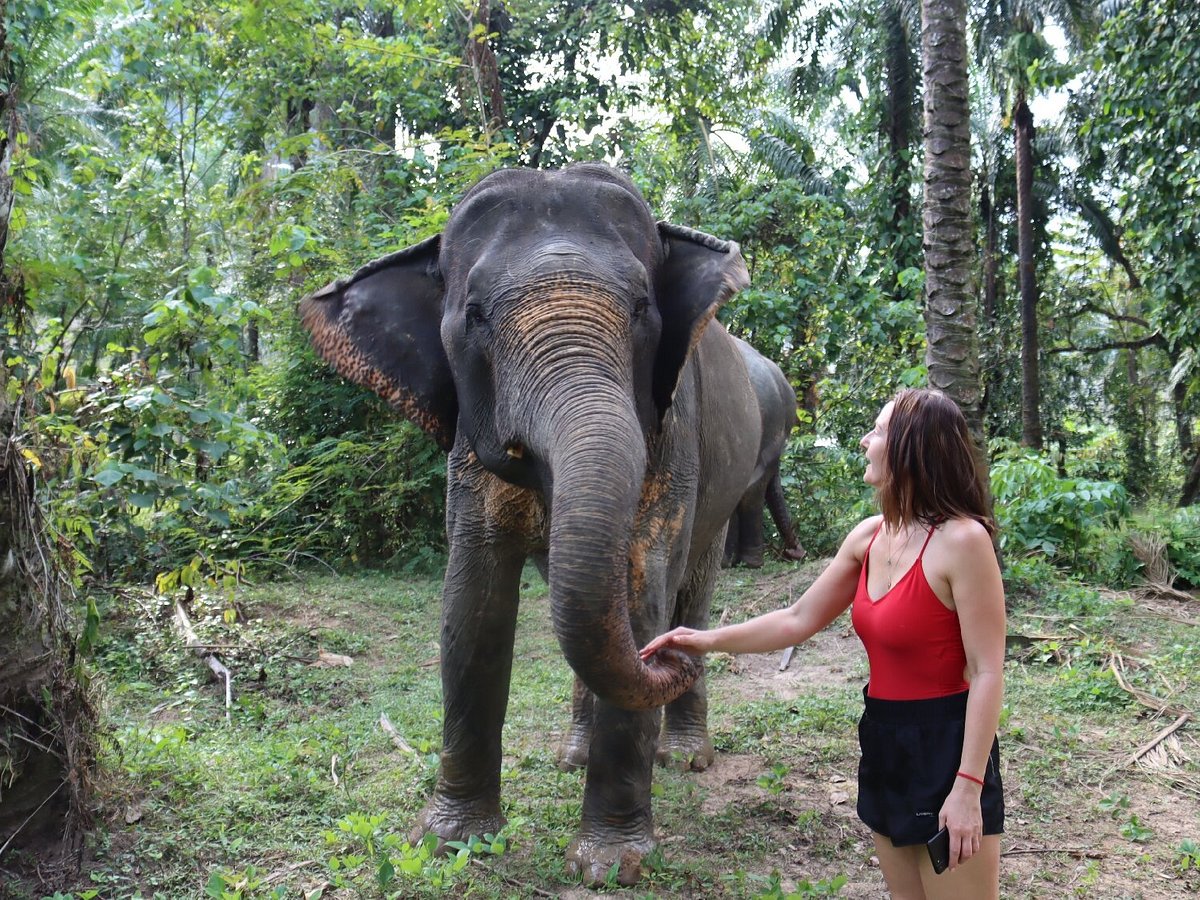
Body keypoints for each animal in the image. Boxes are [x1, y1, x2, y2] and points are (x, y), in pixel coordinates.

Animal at [302, 164, 768, 888]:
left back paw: (685, 755)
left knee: (691, 588)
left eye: (643, 307)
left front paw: (612, 866)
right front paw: (451, 843)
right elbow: (472, 608)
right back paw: (572, 756)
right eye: (474, 315)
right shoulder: (467, 449)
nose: (673, 653)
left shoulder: (676, 427)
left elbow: (644, 588)